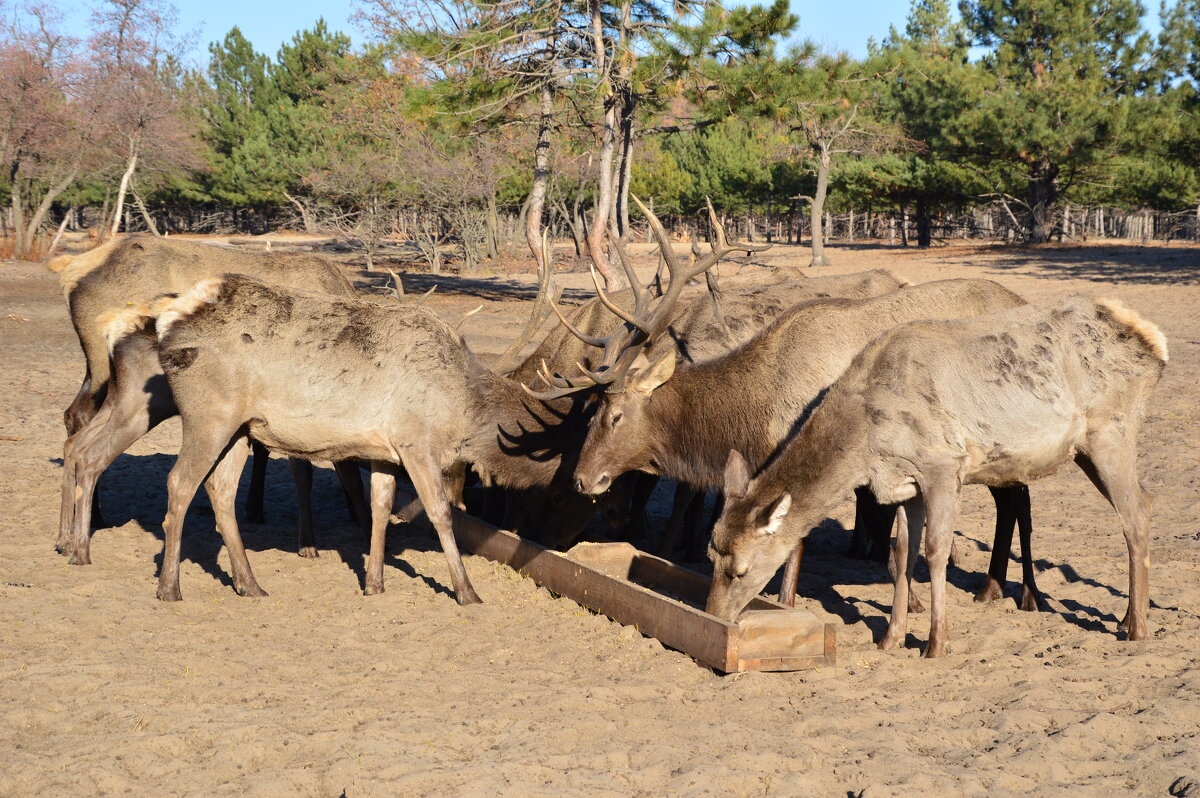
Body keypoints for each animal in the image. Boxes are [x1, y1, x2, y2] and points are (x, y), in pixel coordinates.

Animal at [705, 295, 1166, 657]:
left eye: (741, 570)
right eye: (711, 555)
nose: (713, 615)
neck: (867, 440)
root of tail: (1153, 342)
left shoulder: (943, 464)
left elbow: (936, 550)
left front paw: (935, 643)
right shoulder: (906, 484)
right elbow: (904, 552)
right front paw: (890, 639)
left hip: (1111, 430)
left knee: (1136, 513)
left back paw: (1138, 628)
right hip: (1088, 446)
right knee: (1142, 502)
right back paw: (1126, 617)